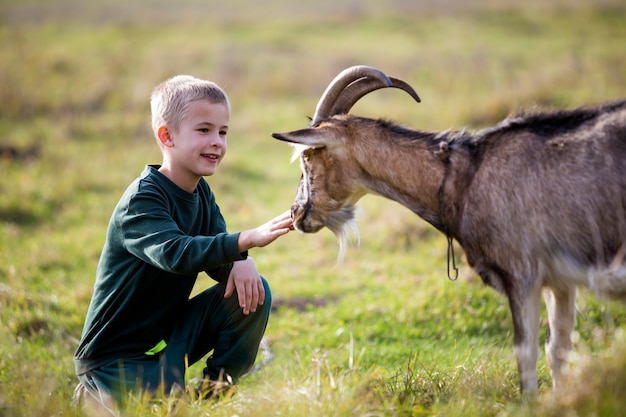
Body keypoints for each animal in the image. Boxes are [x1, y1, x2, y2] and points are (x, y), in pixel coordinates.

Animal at [272, 65, 624, 394]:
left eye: (307, 156)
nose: (296, 213)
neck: (463, 178)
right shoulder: (560, 281)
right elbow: (558, 349)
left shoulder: (522, 272)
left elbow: (525, 353)